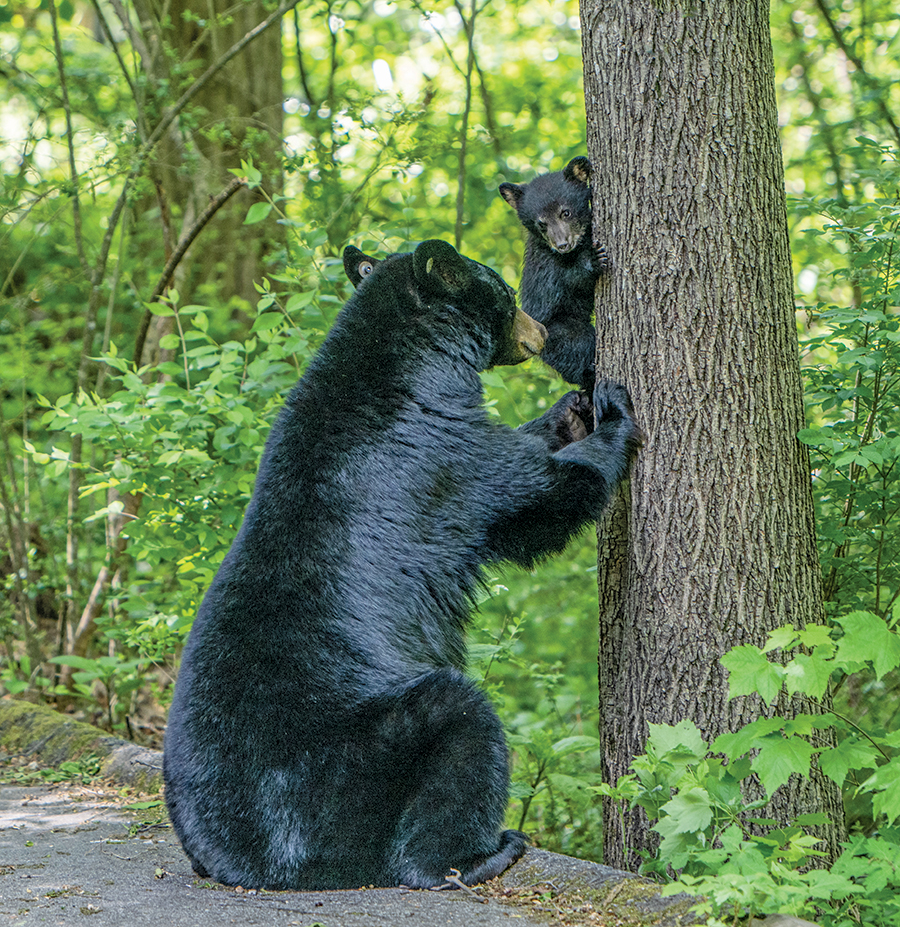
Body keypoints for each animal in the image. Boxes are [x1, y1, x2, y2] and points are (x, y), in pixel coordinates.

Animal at [163, 239, 641, 892]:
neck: (411, 367)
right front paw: (613, 412)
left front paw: (573, 410)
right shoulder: (443, 457)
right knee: (462, 730)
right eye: (504, 291)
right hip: (360, 755)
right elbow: (536, 496)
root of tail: (247, 857)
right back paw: (482, 854)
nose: (540, 331)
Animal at [499, 156, 607, 391]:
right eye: (541, 223)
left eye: (565, 212)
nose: (562, 244)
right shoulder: (545, 263)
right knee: (578, 346)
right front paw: (593, 260)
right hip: (553, 332)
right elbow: (567, 281)